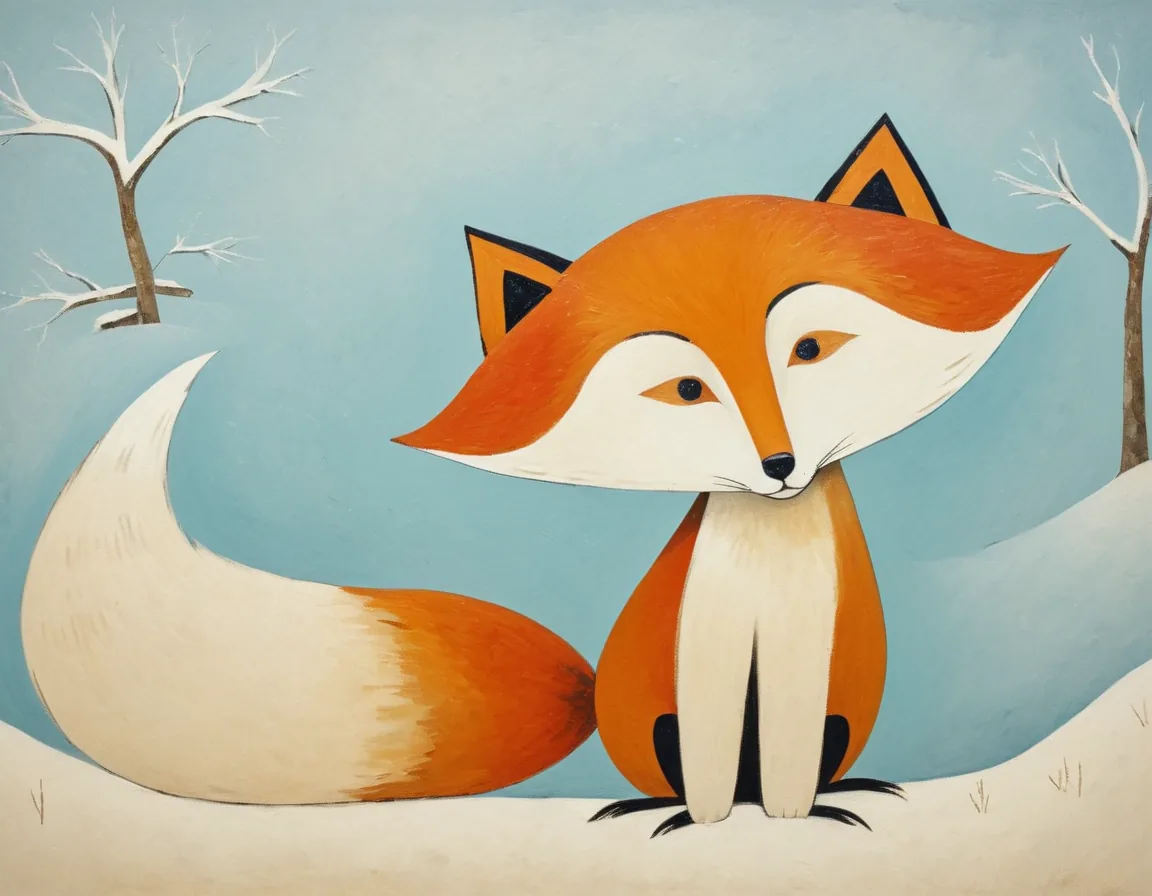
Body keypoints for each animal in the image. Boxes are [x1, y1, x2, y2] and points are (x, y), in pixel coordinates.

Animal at [20, 115, 1063, 835]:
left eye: (811, 349)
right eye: (685, 389)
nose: (779, 465)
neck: (766, 564)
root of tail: (589, 693)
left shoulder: (810, 660)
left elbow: (791, 767)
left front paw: (794, 826)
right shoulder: (706, 655)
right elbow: (715, 768)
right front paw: (710, 830)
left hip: (842, 715)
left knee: (818, 757)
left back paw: (836, 793)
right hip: (658, 718)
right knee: (682, 768)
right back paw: (665, 811)